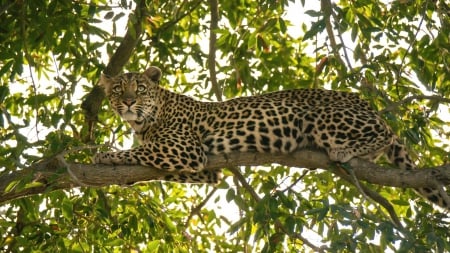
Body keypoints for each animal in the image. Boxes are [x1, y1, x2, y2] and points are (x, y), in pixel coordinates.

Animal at [94, 65, 450, 210]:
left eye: (140, 88)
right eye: (118, 90)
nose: (128, 102)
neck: (145, 122)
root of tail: (365, 102)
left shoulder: (184, 149)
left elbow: (136, 152)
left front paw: (103, 155)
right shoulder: (206, 170)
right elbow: (151, 165)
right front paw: (124, 177)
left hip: (324, 117)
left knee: (385, 133)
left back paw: (343, 150)